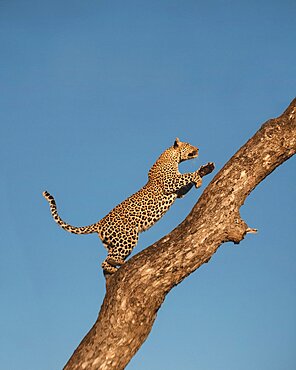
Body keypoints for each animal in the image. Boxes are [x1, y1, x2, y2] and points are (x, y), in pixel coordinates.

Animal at [42, 137, 214, 274]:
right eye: (189, 144)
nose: (198, 148)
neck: (173, 158)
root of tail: (100, 222)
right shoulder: (170, 182)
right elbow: (187, 176)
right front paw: (198, 176)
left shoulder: (178, 191)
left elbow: (186, 184)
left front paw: (203, 171)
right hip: (128, 236)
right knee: (107, 260)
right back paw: (119, 263)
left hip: (113, 242)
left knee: (105, 261)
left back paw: (114, 268)